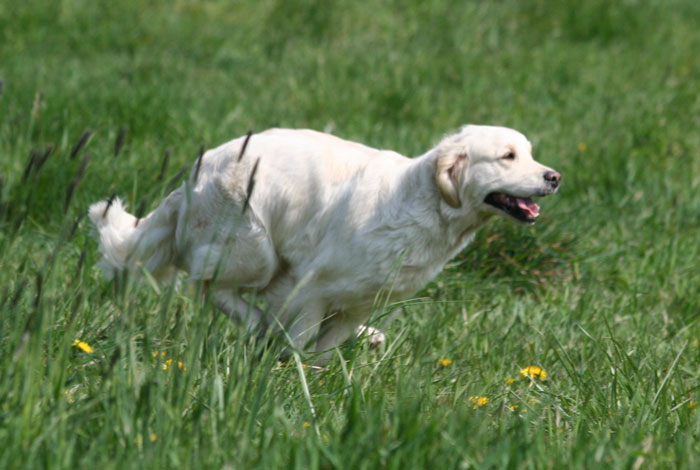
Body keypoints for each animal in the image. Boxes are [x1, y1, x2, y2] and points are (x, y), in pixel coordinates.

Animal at [89, 125, 556, 360]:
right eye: (508, 156)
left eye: (531, 153)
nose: (554, 176)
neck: (423, 201)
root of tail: (195, 173)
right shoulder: (309, 288)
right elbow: (302, 339)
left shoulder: (359, 302)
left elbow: (327, 345)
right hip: (252, 247)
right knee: (206, 286)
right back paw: (259, 325)